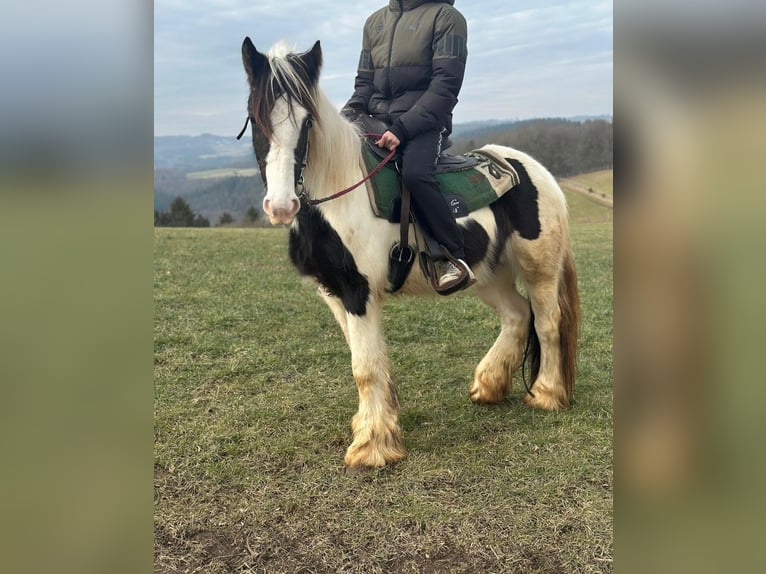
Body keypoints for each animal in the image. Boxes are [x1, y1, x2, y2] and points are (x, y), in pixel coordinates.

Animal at [240, 39, 584, 472]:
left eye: (307, 122)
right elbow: (365, 357)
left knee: (548, 322)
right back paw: (488, 386)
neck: (341, 195)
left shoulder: (359, 292)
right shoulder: (334, 293)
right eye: (256, 120)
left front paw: (371, 448)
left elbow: (365, 367)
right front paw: (375, 424)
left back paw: (547, 394)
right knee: (517, 316)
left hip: (539, 268)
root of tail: (537, 171)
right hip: (488, 274)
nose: (281, 206)